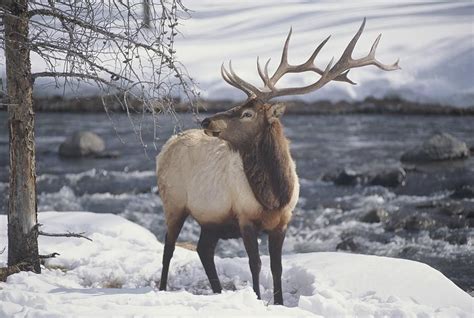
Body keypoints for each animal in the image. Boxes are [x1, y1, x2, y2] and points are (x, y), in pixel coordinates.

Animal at [156, 18, 400, 306]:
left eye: (247, 113)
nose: (207, 120)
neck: (274, 196)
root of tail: (167, 146)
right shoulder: (245, 217)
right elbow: (256, 264)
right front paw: (257, 299)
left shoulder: (282, 222)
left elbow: (277, 267)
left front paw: (280, 303)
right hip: (174, 202)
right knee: (169, 247)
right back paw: (162, 289)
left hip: (211, 218)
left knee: (204, 249)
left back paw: (217, 292)